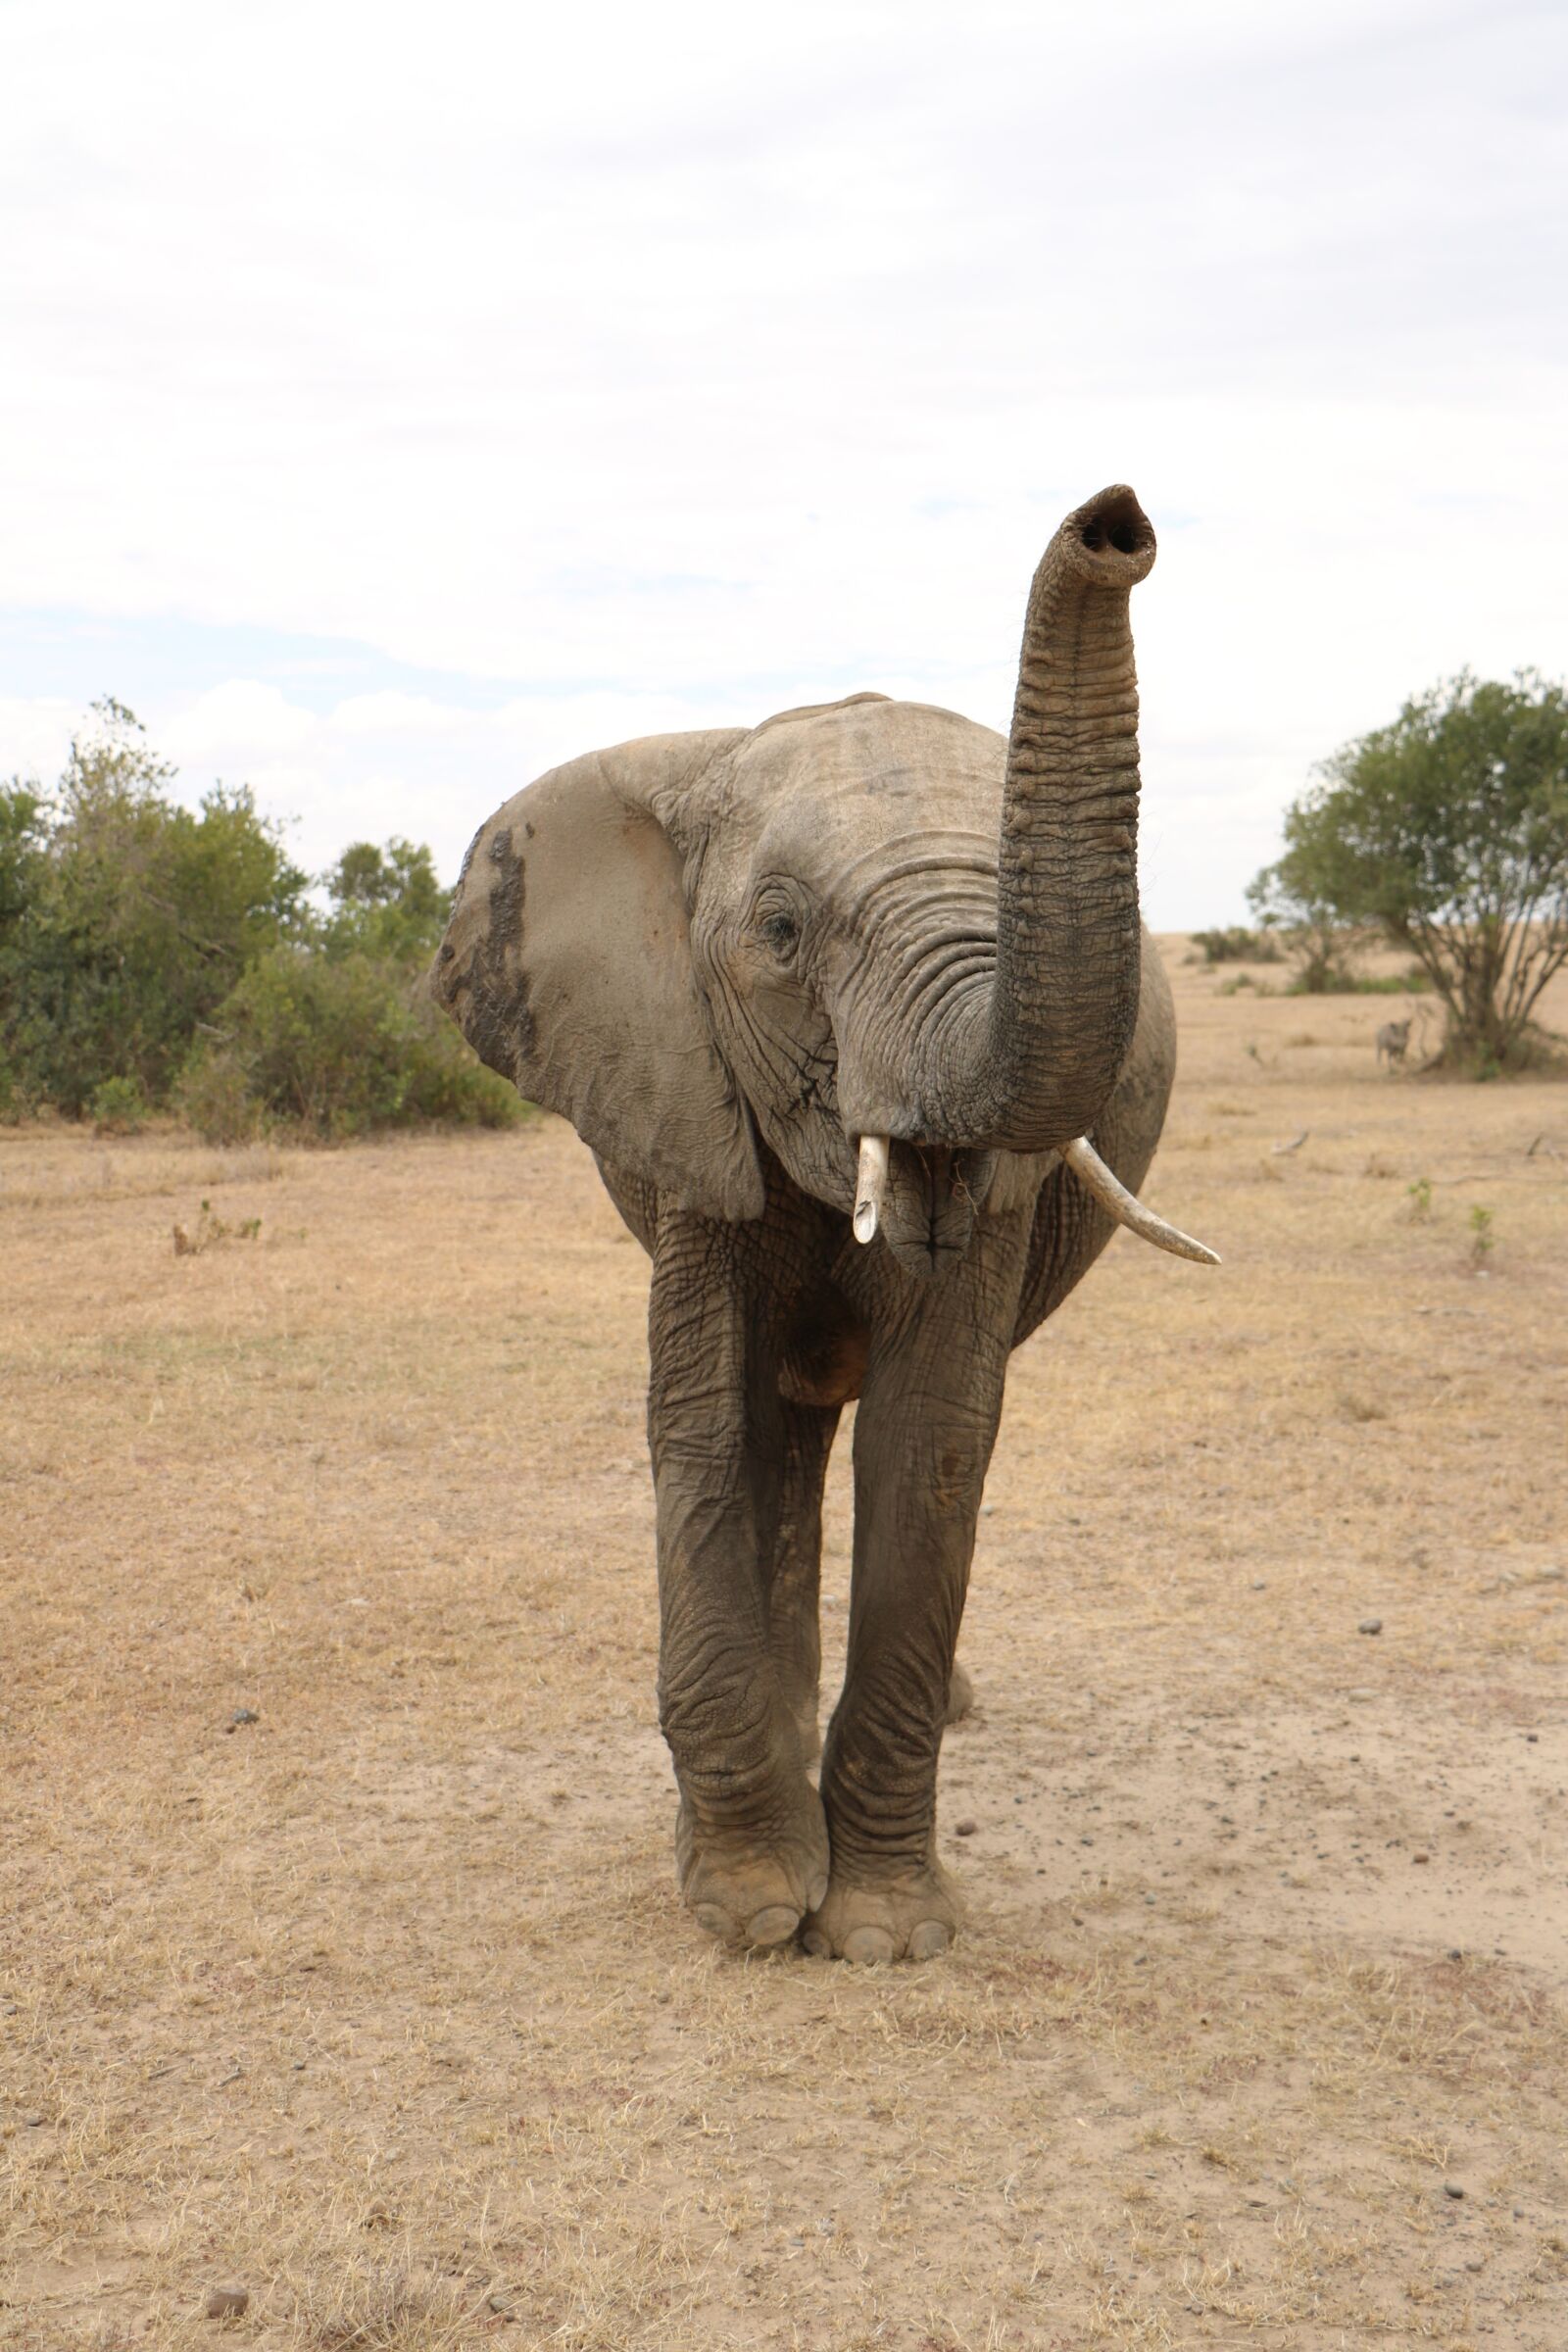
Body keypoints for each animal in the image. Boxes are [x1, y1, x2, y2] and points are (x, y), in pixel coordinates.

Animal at [433, 484, 1217, 1965]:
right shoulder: (679, 1090)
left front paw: (885, 1935)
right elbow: (704, 1419)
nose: (1116, 524)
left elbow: (935, 1438)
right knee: (781, 1427)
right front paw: (746, 1909)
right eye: (783, 932)